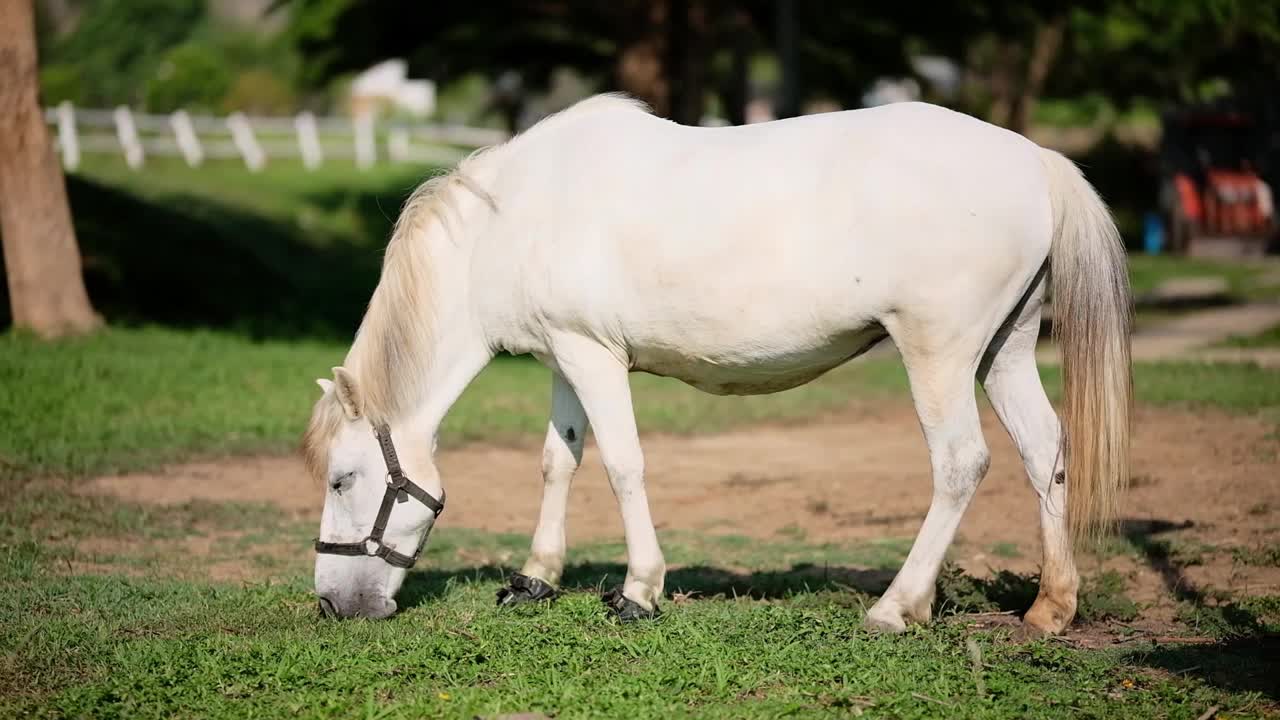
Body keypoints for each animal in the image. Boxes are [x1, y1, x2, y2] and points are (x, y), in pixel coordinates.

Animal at [302, 94, 1131, 632]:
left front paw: (638, 591)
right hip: (1005, 350)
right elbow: (557, 462)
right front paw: (534, 581)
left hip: (940, 352)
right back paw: (1051, 607)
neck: (511, 221)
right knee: (1044, 451)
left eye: (342, 480)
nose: (333, 603)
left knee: (961, 464)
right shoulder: (566, 358)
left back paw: (897, 607)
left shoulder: (593, 357)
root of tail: (1035, 160)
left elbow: (622, 465)